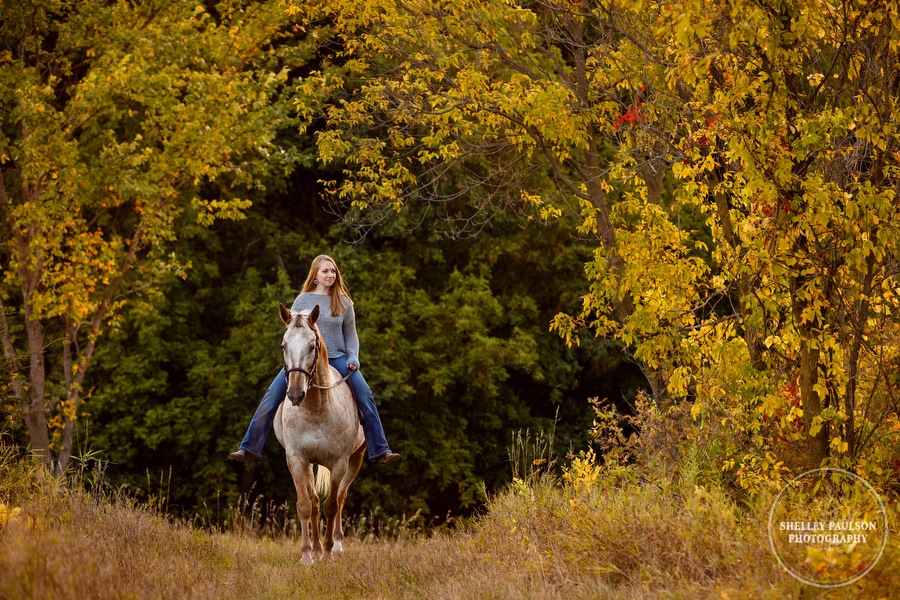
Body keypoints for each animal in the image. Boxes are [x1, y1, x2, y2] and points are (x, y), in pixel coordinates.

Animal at [270, 304, 366, 564]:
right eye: (283, 346)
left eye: (312, 346)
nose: (295, 394)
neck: (316, 408)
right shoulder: (296, 459)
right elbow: (306, 505)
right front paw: (307, 555)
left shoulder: (339, 462)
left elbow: (331, 505)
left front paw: (328, 552)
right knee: (314, 501)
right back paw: (315, 548)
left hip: (356, 459)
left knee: (341, 497)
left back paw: (336, 545)